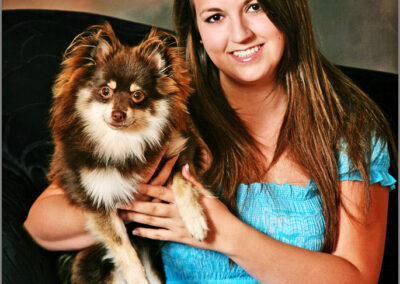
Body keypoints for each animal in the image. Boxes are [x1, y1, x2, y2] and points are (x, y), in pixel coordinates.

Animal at [48, 22, 211, 284]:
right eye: (105, 91)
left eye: (137, 95)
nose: (118, 114)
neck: (122, 142)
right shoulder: (98, 199)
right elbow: (123, 247)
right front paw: (137, 277)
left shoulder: (179, 154)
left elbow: (184, 184)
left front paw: (196, 221)